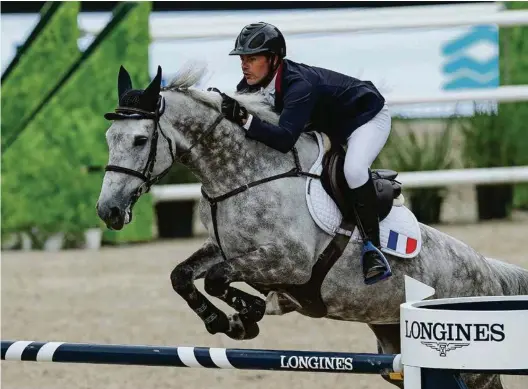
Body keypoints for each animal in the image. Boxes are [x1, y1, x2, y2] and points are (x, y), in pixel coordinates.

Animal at [96, 65, 528, 386]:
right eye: (108, 137)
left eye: (139, 140)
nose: (108, 211)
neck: (242, 176)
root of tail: (489, 270)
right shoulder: (227, 250)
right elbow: (183, 275)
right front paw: (227, 320)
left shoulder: (290, 262)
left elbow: (219, 278)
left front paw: (249, 312)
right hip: (393, 345)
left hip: (472, 370)